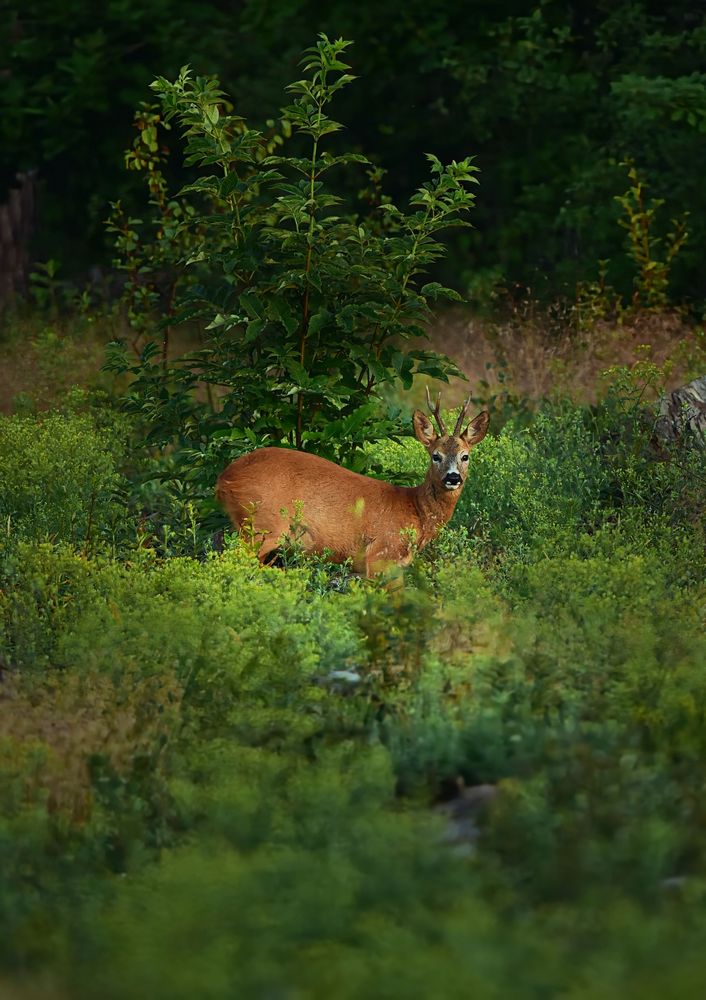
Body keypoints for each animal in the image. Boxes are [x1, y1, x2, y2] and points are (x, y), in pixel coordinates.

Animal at [216, 390, 490, 580]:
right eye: (436, 455)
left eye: (465, 456)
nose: (452, 478)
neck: (415, 511)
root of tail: (223, 478)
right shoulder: (381, 555)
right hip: (261, 525)